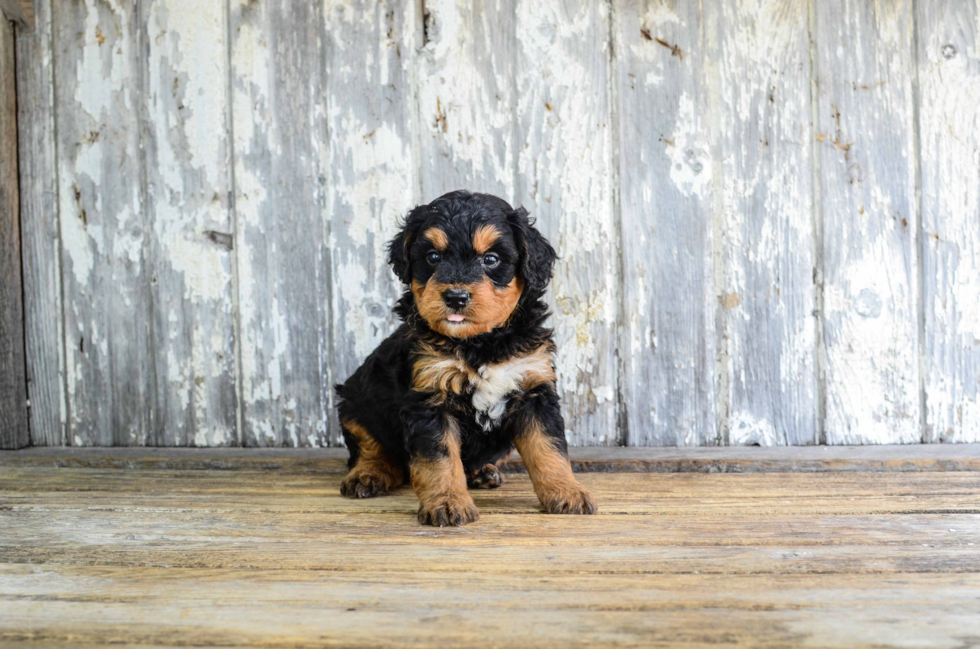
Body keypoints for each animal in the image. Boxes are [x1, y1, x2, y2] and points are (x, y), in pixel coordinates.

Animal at [336, 190, 596, 524]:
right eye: (433, 257)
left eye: (491, 259)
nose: (456, 297)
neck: (481, 343)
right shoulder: (430, 396)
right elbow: (440, 458)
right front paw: (447, 503)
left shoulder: (534, 390)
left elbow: (549, 448)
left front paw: (567, 492)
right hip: (355, 401)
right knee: (370, 447)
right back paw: (368, 474)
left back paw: (482, 472)